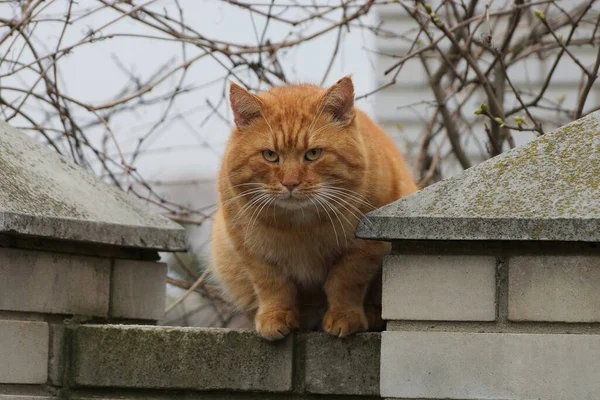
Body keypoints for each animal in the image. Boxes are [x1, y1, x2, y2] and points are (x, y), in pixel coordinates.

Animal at [211, 76, 418, 340]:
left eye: (313, 154)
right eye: (270, 155)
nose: (290, 183)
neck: (300, 227)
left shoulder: (363, 249)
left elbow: (345, 281)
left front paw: (344, 316)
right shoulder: (250, 250)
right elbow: (272, 285)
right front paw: (274, 317)